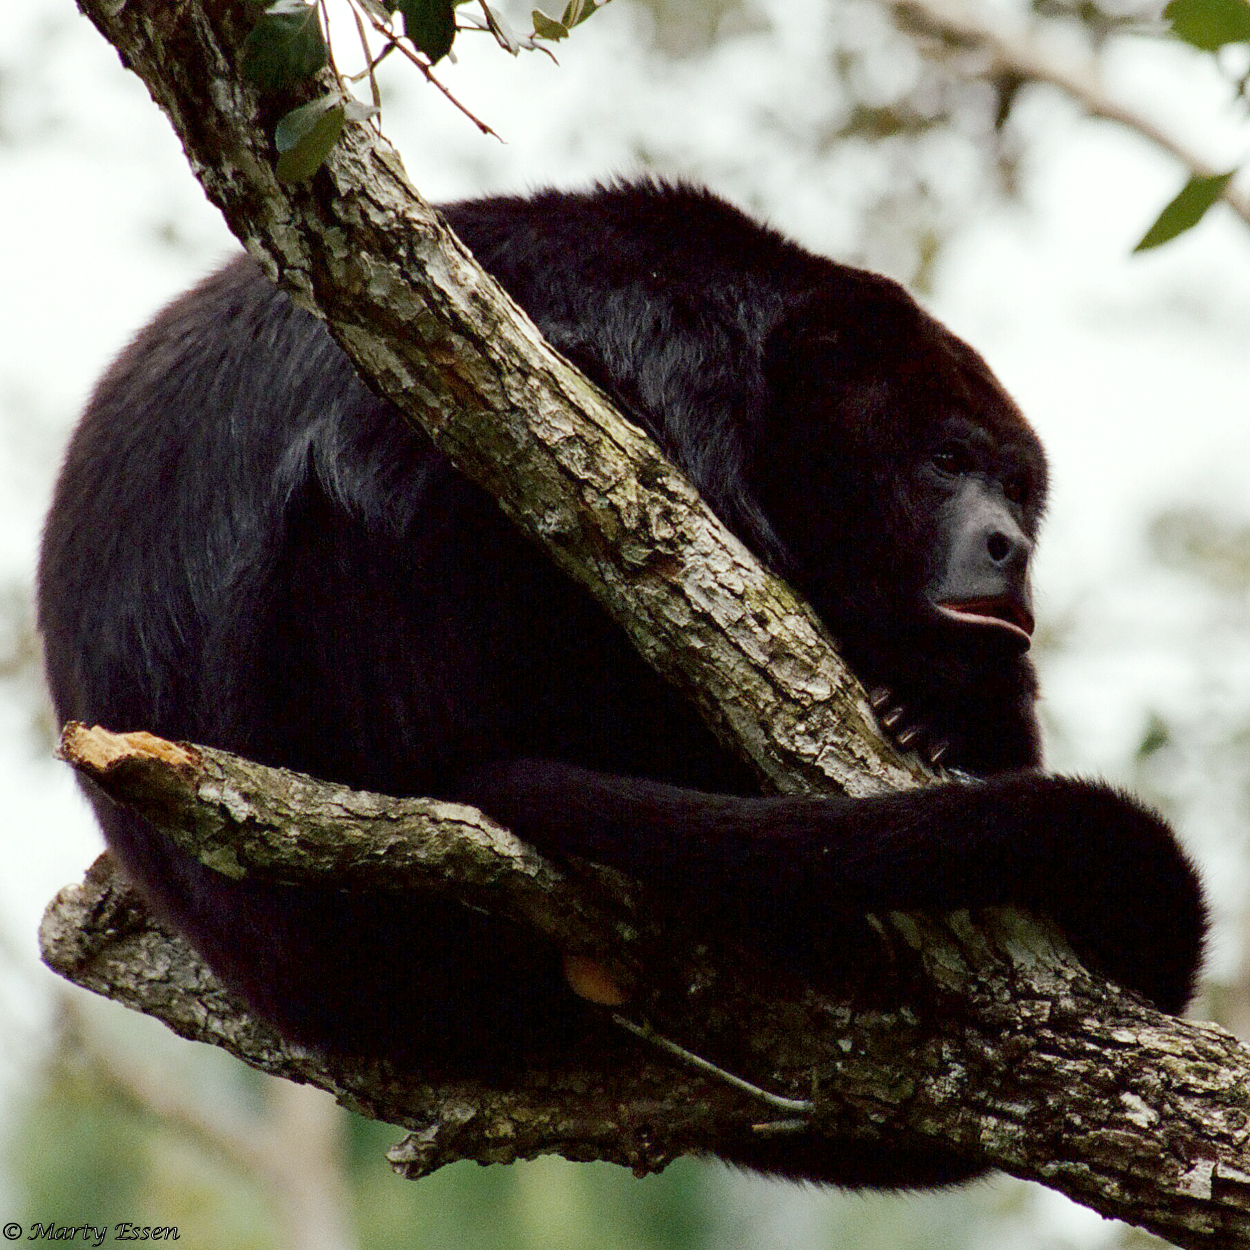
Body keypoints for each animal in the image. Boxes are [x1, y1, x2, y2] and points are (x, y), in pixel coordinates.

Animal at [44, 176, 1205, 1180]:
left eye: (1017, 486)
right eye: (946, 463)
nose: (1010, 542)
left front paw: (945, 708)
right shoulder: (664, 366)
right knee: (391, 470)